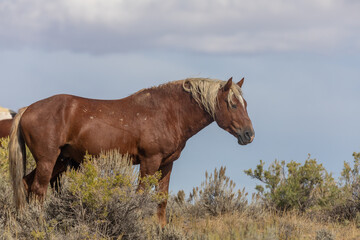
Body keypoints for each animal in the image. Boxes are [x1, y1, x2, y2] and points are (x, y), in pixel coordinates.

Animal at [9, 77, 255, 225]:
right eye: (233, 104)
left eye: (245, 104)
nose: (249, 135)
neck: (168, 113)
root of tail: (27, 109)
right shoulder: (149, 162)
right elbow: (140, 198)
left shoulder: (167, 164)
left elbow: (161, 199)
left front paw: (160, 229)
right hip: (48, 161)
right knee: (39, 190)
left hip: (60, 161)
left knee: (27, 185)